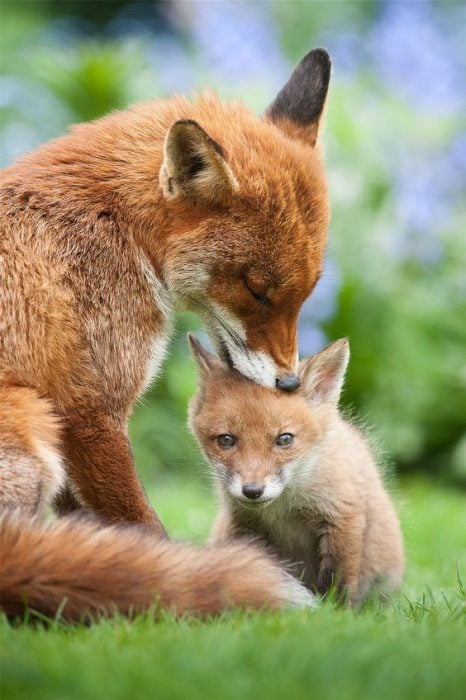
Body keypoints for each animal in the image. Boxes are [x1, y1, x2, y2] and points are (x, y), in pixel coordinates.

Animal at [0, 50, 330, 536]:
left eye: (309, 292)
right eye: (256, 289)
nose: (289, 383)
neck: (119, 228)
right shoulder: (90, 414)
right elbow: (145, 529)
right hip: (30, 421)